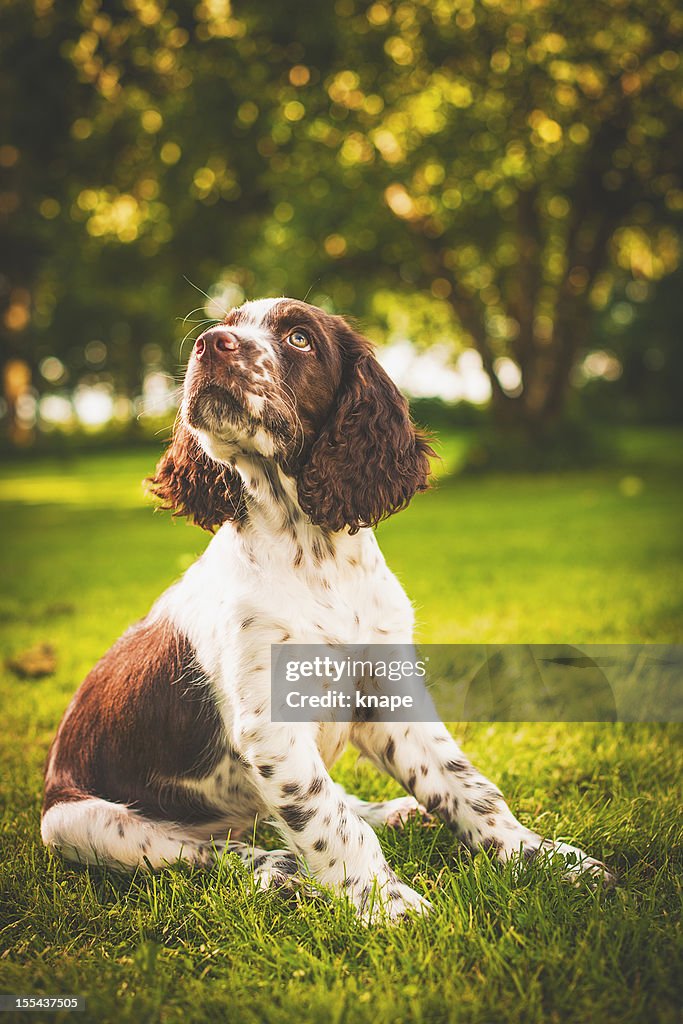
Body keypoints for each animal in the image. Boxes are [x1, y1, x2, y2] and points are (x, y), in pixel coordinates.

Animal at [40, 296, 610, 921]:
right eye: (226, 323)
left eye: (299, 338)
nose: (210, 342)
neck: (313, 552)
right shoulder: (271, 725)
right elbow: (325, 819)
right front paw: (390, 908)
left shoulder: (388, 692)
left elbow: (465, 783)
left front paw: (545, 860)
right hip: (74, 822)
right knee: (214, 850)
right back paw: (280, 872)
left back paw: (390, 813)